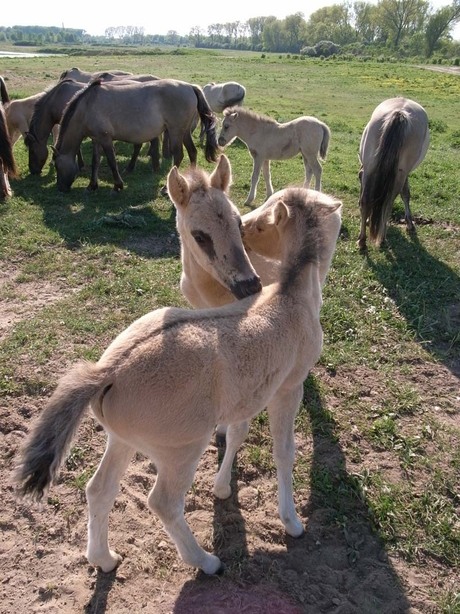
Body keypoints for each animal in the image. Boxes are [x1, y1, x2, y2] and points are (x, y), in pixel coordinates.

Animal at [15, 160, 342, 576]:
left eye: (245, 224)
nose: (250, 280)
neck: (289, 295)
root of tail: (107, 372)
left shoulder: (250, 392)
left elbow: (238, 433)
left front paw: (223, 487)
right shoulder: (288, 387)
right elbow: (284, 451)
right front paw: (292, 521)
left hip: (121, 439)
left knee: (99, 489)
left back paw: (104, 558)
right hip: (182, 449)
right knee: (163, 503)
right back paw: (206, 561)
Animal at [53, 79, 218, 192]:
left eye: (57, 166)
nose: (60, 188)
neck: (88, 106)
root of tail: (190, 86)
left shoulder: (105, 139)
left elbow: (112, 162)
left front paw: (118, 185)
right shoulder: (96, 139)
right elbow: (96, 161)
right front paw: (92, 185)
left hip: (175, 131)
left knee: (178, 155)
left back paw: (167, 188)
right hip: (184, 132)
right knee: (192, 152)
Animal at [358, 97, 430, 250]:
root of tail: (399, 112)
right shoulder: (404, 174)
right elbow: (406, 194)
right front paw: (410, 224)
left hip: (369, 168)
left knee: (366, 200)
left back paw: (362, 240)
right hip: (399, 174)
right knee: (388, 202)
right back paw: (382, 238)